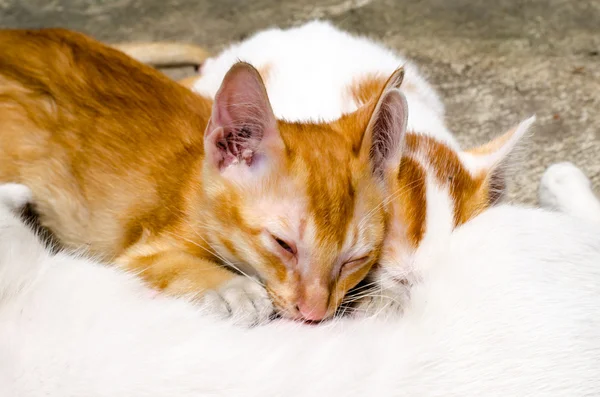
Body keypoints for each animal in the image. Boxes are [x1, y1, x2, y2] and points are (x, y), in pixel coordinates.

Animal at [0, 30, 406, 322]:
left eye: (355, 259)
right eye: (283, 244)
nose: (314, 313)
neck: (194, 182)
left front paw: (371, 293)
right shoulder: (134, 255)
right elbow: (167, 263)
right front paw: (232, 288)